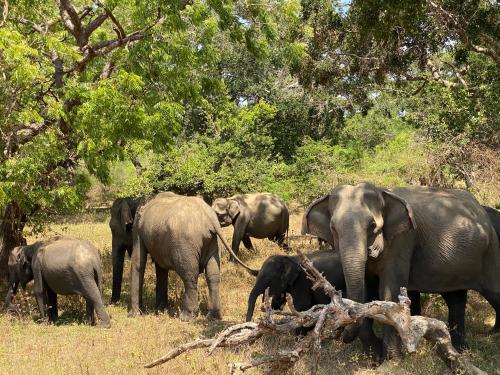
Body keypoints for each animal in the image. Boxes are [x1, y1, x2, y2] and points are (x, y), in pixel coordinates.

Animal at [129, 194, 258, 320]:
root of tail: (209, 217)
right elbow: (159, 268)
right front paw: (160, 310)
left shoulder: (138, 229)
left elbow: (138, 262)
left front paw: (135, 315)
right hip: (213, 241)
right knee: (213, 275)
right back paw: (213, 316)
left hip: (186, 244)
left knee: (190, 276)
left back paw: (186, 317)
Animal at [300, 184, 500, 360]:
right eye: (333, 228)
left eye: (372, 226)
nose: (339, 336)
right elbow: (366, 292)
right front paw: (375, 357)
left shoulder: (403, 240)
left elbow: (389, 291)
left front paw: (392, 360)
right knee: (455, 297)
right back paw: (462, 348)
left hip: (490, 251)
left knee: (493, 291)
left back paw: (491, 336)